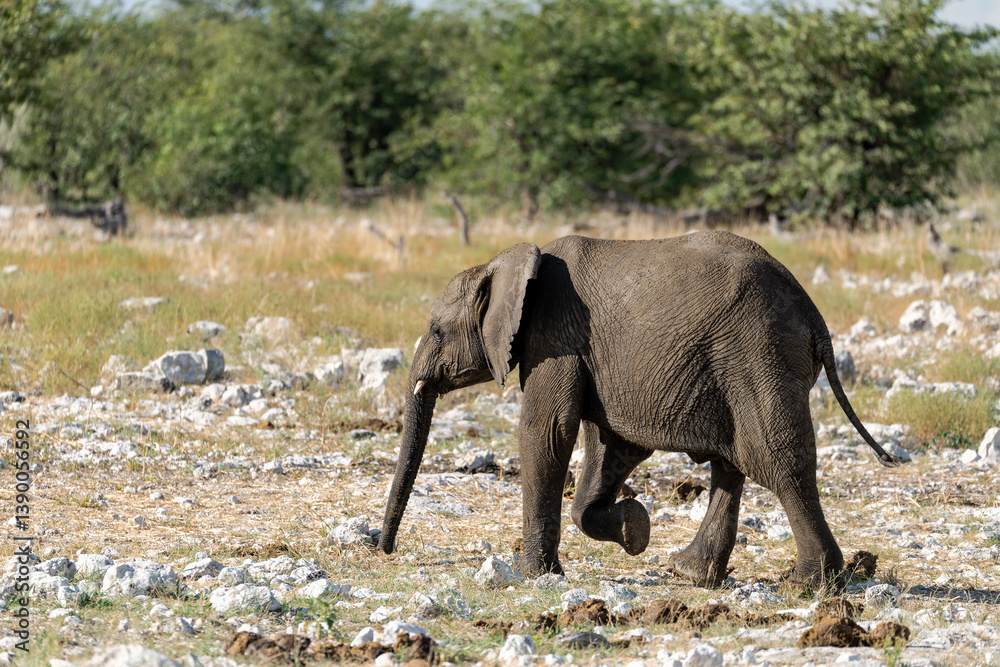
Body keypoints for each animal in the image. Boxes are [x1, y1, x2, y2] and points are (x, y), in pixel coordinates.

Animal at [378, 231, 899, 586]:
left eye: (437, 330)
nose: (384, 550)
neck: (509, 261)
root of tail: (814, 314)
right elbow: (611, 448)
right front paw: (636, 530)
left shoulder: (554, 337)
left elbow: (547, 431)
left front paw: (533, 575)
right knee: (733, 463)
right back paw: (690, 573)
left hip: (757, 351)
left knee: (774, 459)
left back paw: (811, 583)